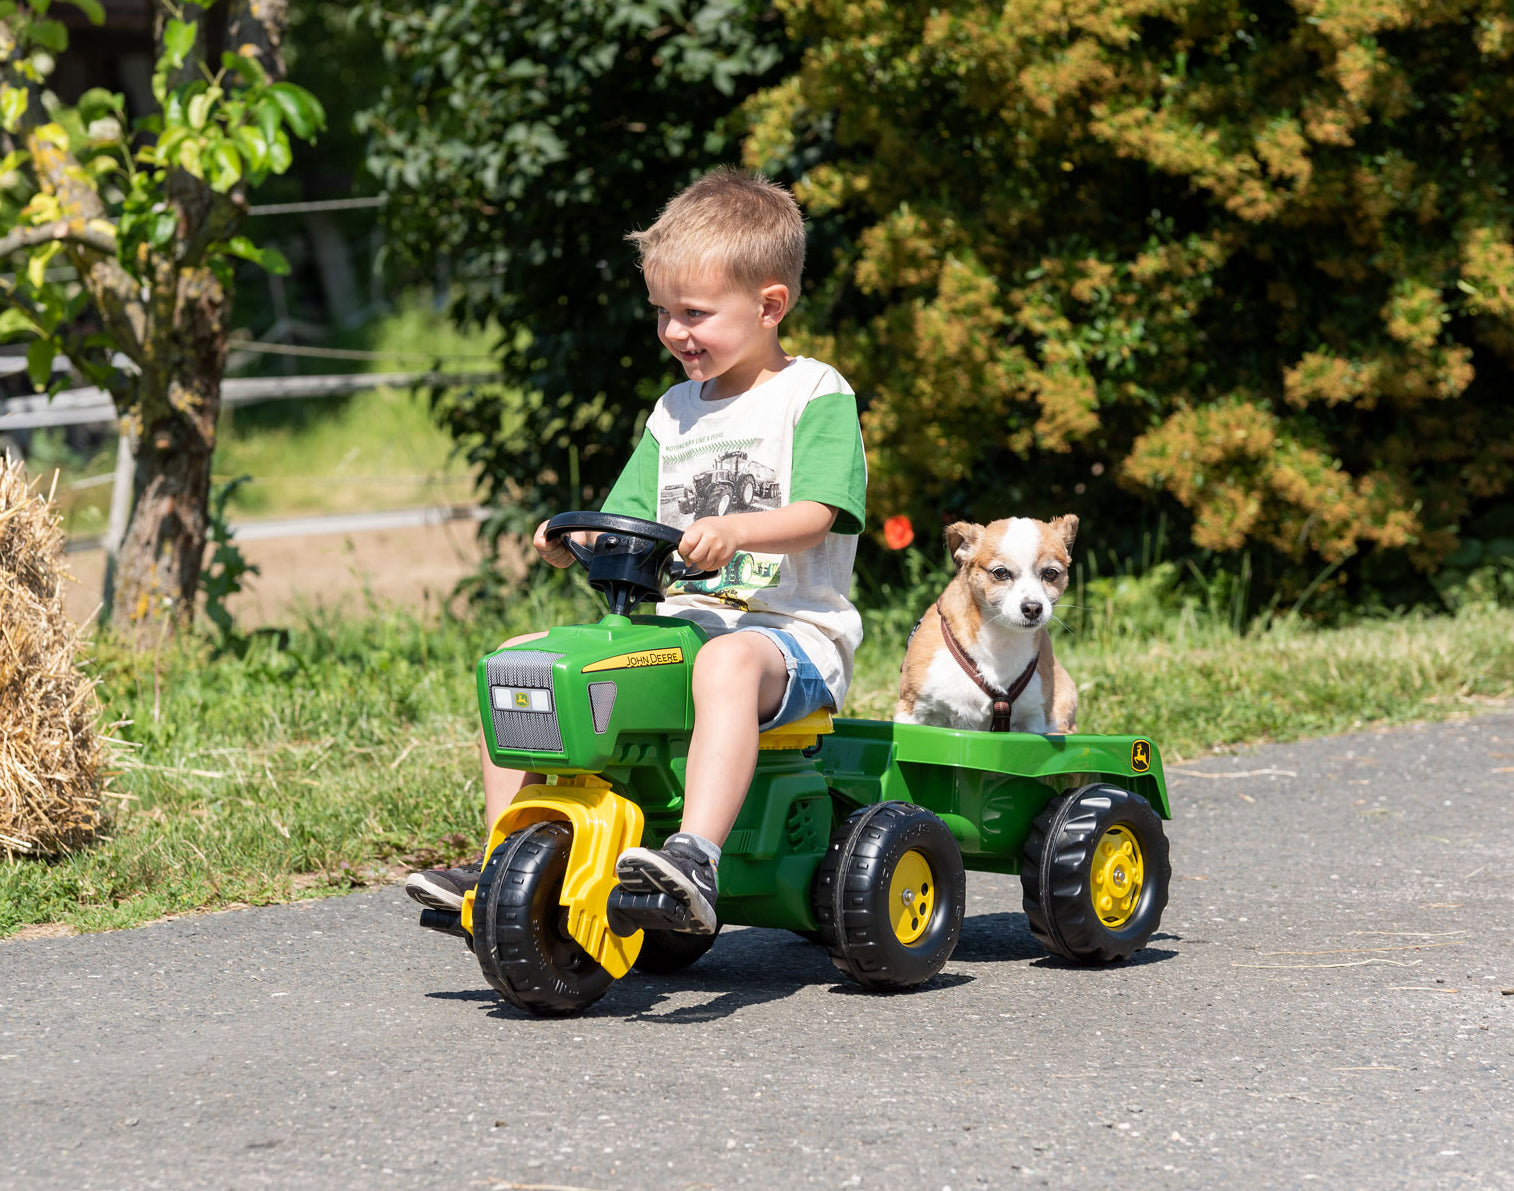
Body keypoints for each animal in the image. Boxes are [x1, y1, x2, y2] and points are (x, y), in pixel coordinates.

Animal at [896, 514, 1077, 735]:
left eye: (1051, 573)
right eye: (1000, 573)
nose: (1033, 607)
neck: (1001, 641)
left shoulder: (1033, 721)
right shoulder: (912, 710)